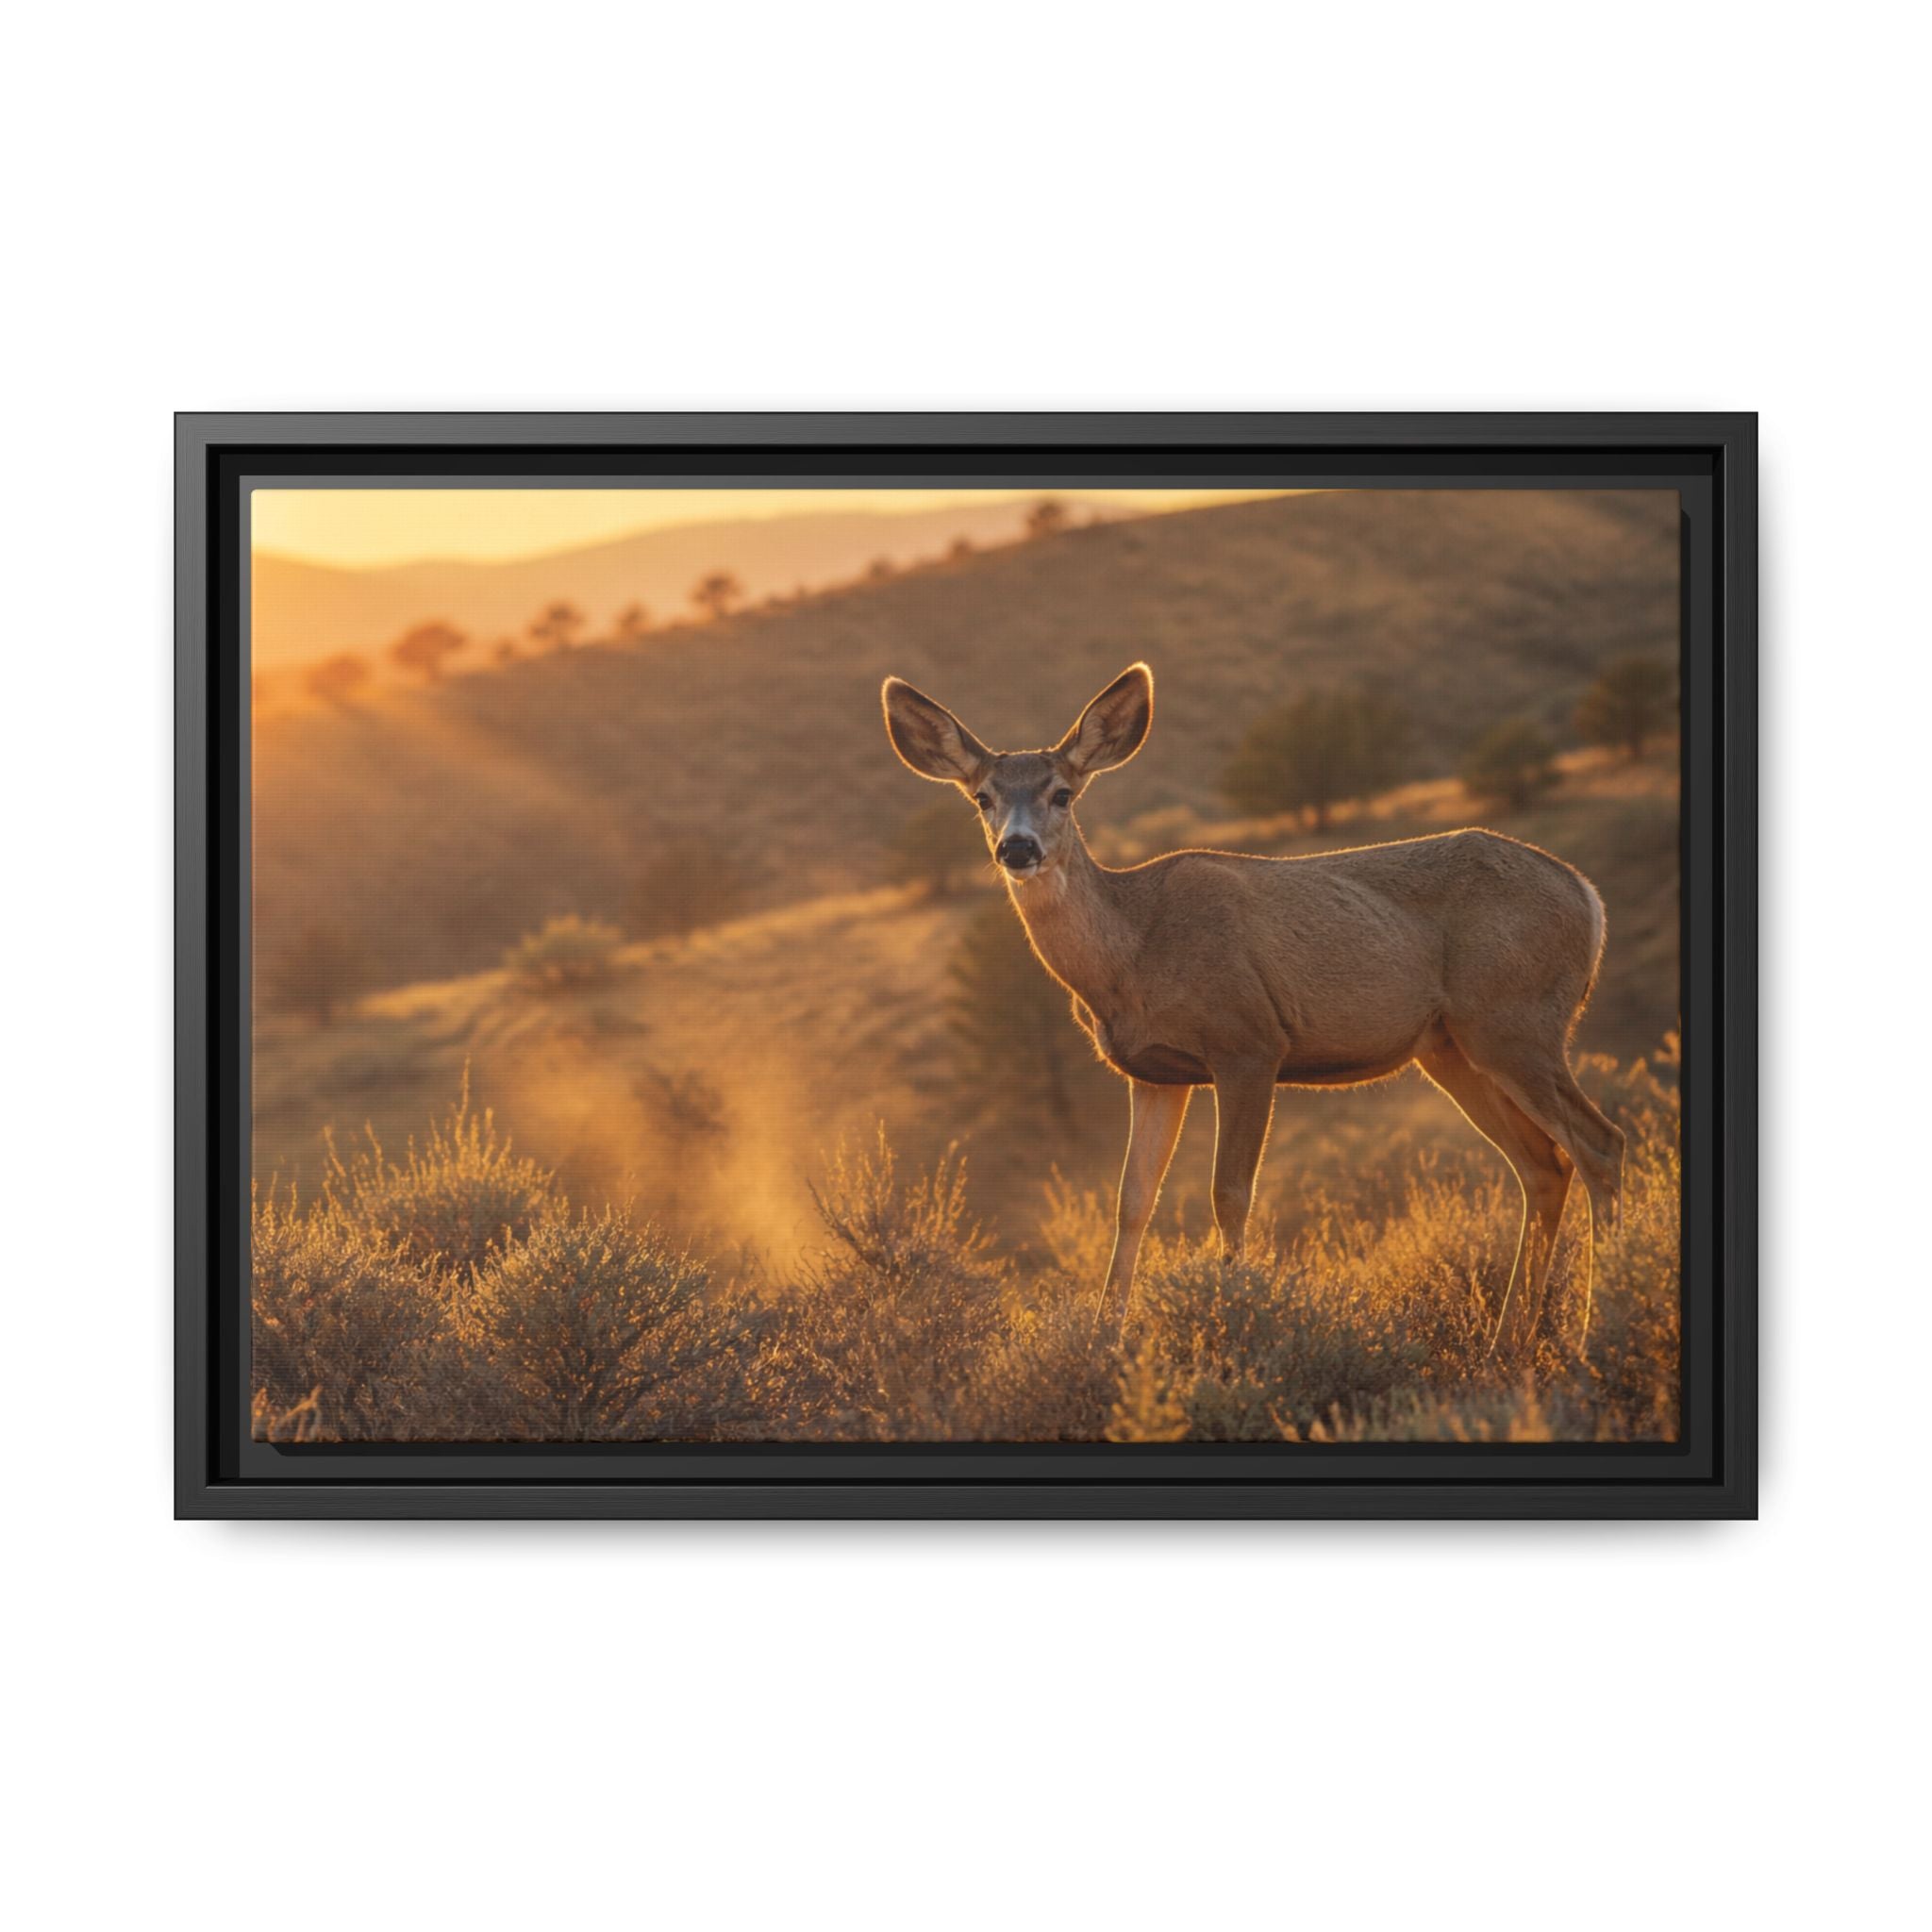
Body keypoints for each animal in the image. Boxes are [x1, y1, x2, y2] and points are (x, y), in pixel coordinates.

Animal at [881, 661, 1625, 1354]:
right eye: (982, 797)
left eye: (1062, 793)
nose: (1018, 847)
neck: (1134, 954)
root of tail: (1588, 898)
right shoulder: (1153, 1074)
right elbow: (1132, 1201)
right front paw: (1104, 1339)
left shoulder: (1248, 1041)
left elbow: (1229, 1193)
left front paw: (1234, 1322)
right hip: (1452, 1046)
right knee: (1542, 1165)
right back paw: (1508, 1342)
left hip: (1516, 1020)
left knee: (1599, 1143)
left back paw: (1598, 1334)